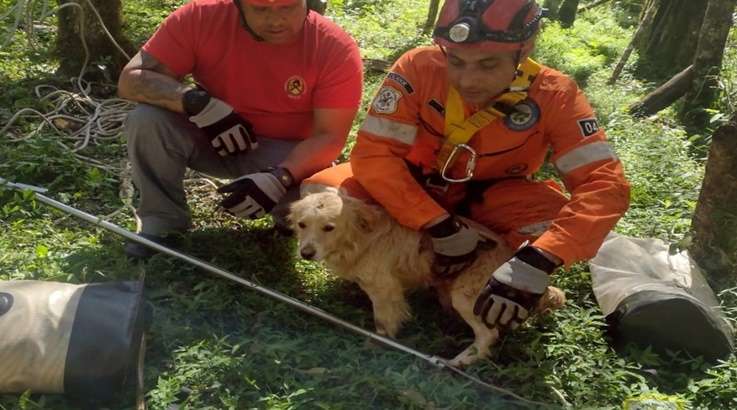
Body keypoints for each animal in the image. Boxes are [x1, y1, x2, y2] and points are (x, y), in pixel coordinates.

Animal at [288, 188, 564, 366]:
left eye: (329, 227)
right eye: (302, 224)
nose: (305, 253)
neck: (360, 238)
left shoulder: (385, 290)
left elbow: (382, 325)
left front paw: (374, 347)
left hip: (468, 297)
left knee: (487, 336)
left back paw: (457, 362)